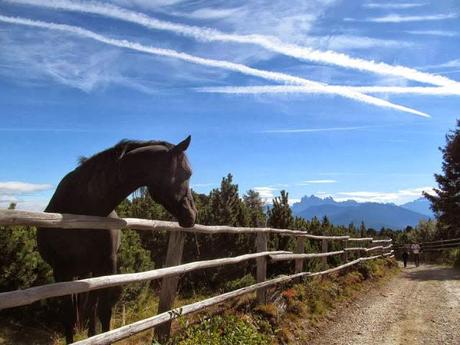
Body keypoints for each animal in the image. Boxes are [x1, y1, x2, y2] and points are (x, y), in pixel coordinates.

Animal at [37, 135, 196, 342]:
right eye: (187, 173)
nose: (192, 215)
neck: (82, 208)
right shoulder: (61, 271)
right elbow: (69, 317)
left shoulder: (107, 265)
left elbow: (103, 312)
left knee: (90, 308)